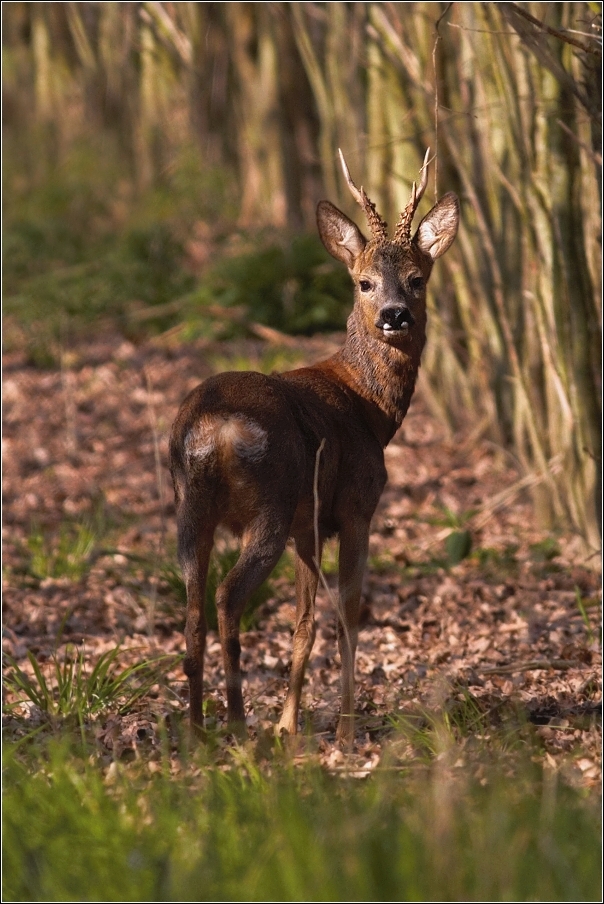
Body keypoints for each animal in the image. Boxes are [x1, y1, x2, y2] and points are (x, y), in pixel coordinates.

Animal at [170, 150, 458, 740]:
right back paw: (238, 724)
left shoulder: (309, 524)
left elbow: (303, 624)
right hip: (269, 503)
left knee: (192, 606)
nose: (395, 315)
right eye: (364, 282)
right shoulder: (356, 507)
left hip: (191, 507)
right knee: (228, 597)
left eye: (417, 278)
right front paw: (345, 729)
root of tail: (213, 429)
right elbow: (347, 615)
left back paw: (197, 731)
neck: (370, 407)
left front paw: (288, 725)